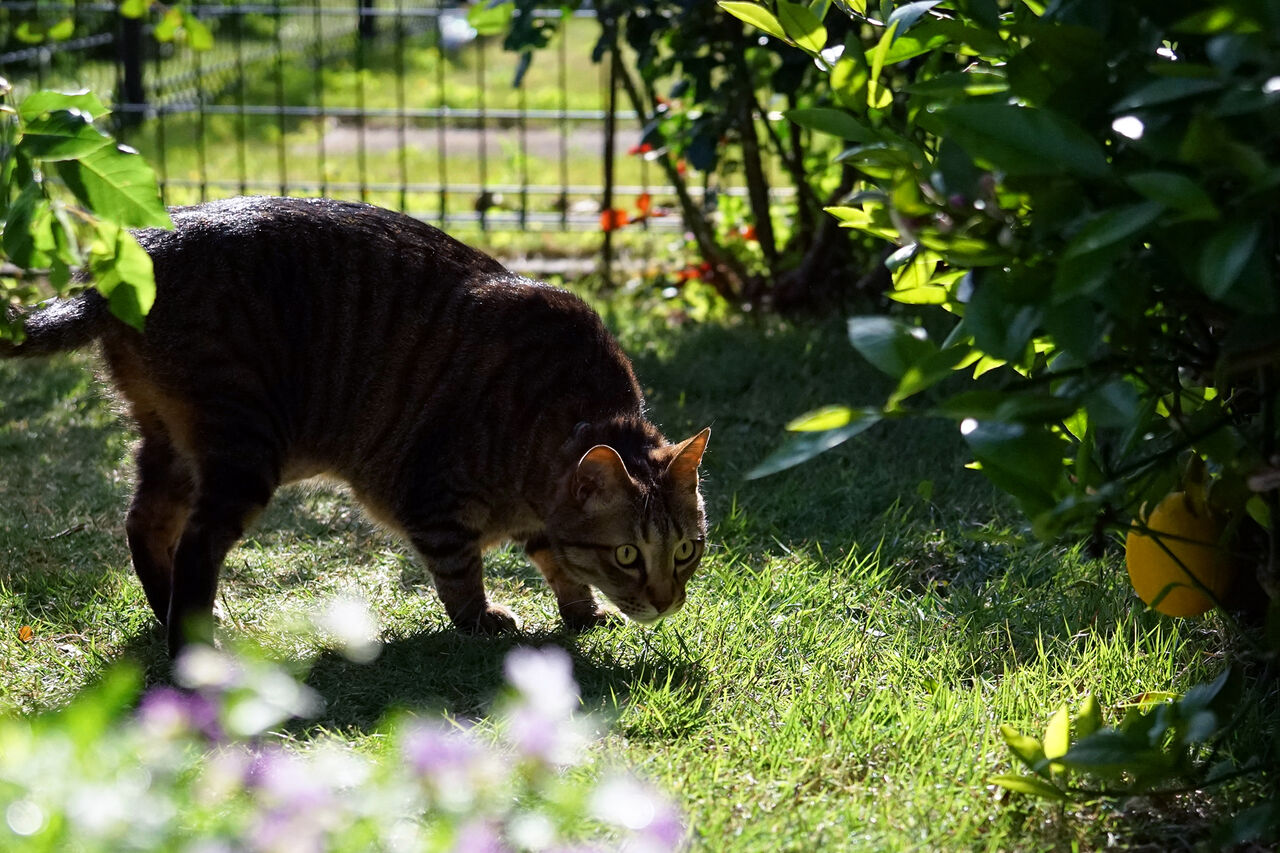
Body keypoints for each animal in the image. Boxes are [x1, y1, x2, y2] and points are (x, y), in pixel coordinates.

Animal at [2, 196, 710, 656]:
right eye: (628, 554)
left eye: (685, 551)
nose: (666, 600)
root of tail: (135, 250)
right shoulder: (434, 497)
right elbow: (461, 571)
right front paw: (482, 619)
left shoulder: (538, 514)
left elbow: (556, 560)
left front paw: (581, 611)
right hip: (243, 445)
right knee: (195, 544)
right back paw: (196, 645)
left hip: (172, 444)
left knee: (144, 523)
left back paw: (174, 612)